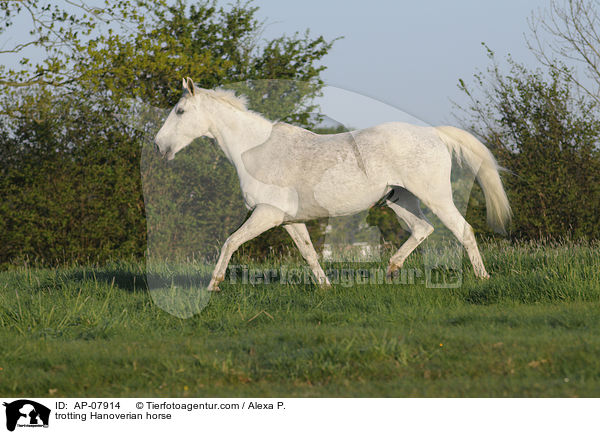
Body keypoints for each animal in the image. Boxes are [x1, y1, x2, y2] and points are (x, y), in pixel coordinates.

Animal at [155, 78, 510, 292]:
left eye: (180, 111)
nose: (159, 146)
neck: (255, 150)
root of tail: (433, 133)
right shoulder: (289, 221)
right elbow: (309, 254)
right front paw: (326, 287)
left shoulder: (266, 214)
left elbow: (230, 242)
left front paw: (213, 285)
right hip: (400, 199)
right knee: (424, 229)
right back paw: (392, 270)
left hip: (435, 196)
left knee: (463, 231)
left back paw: (483, 278)